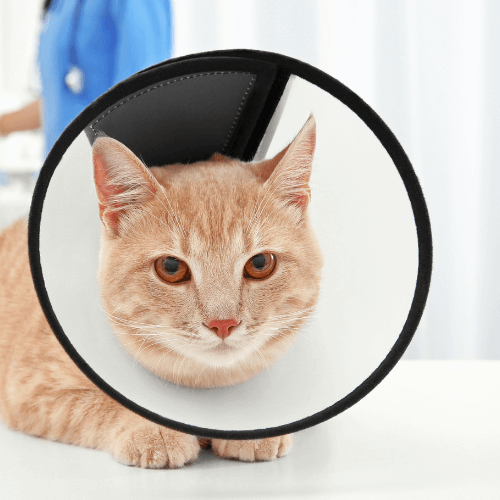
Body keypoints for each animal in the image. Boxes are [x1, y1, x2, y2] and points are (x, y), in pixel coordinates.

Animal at [0, 115, 322, 466]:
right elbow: (99, 403)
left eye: (260, 263)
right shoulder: (32, 389)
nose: (223, 324)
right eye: (170, 267)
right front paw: (154, 429)